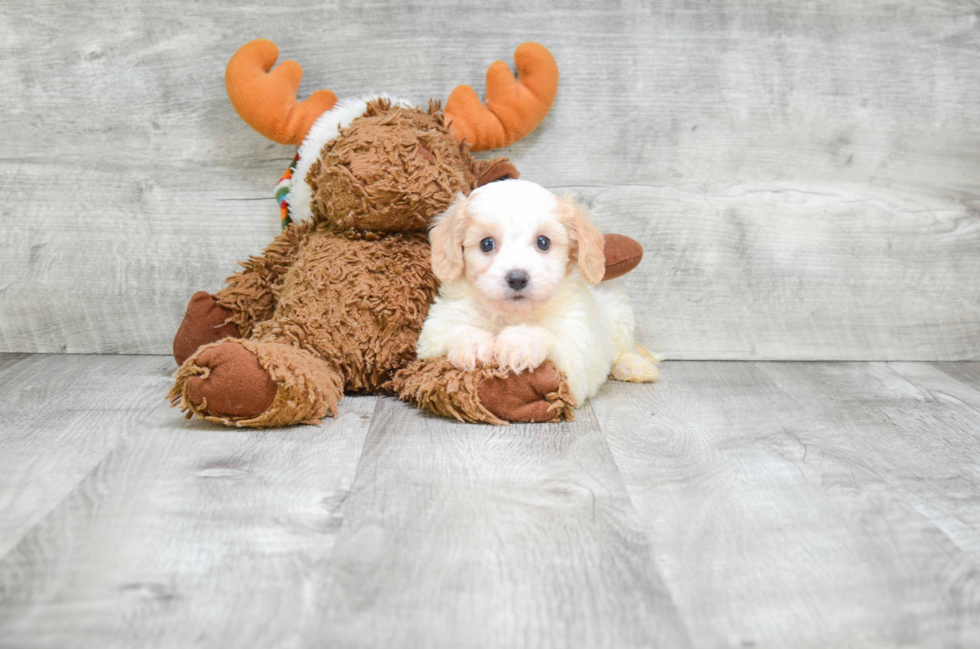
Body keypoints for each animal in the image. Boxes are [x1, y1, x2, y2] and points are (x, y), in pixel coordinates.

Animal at [414, 177, 660, 408]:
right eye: (486, 244)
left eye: (543, 242)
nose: (517, 278)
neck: (512, 314)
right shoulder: (434, 332)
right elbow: (451, 330)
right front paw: (473, 345)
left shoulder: (577, 352)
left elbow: (552, 339)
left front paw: (520, 342)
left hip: (619, 313)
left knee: (623, 349)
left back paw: (634, 366)